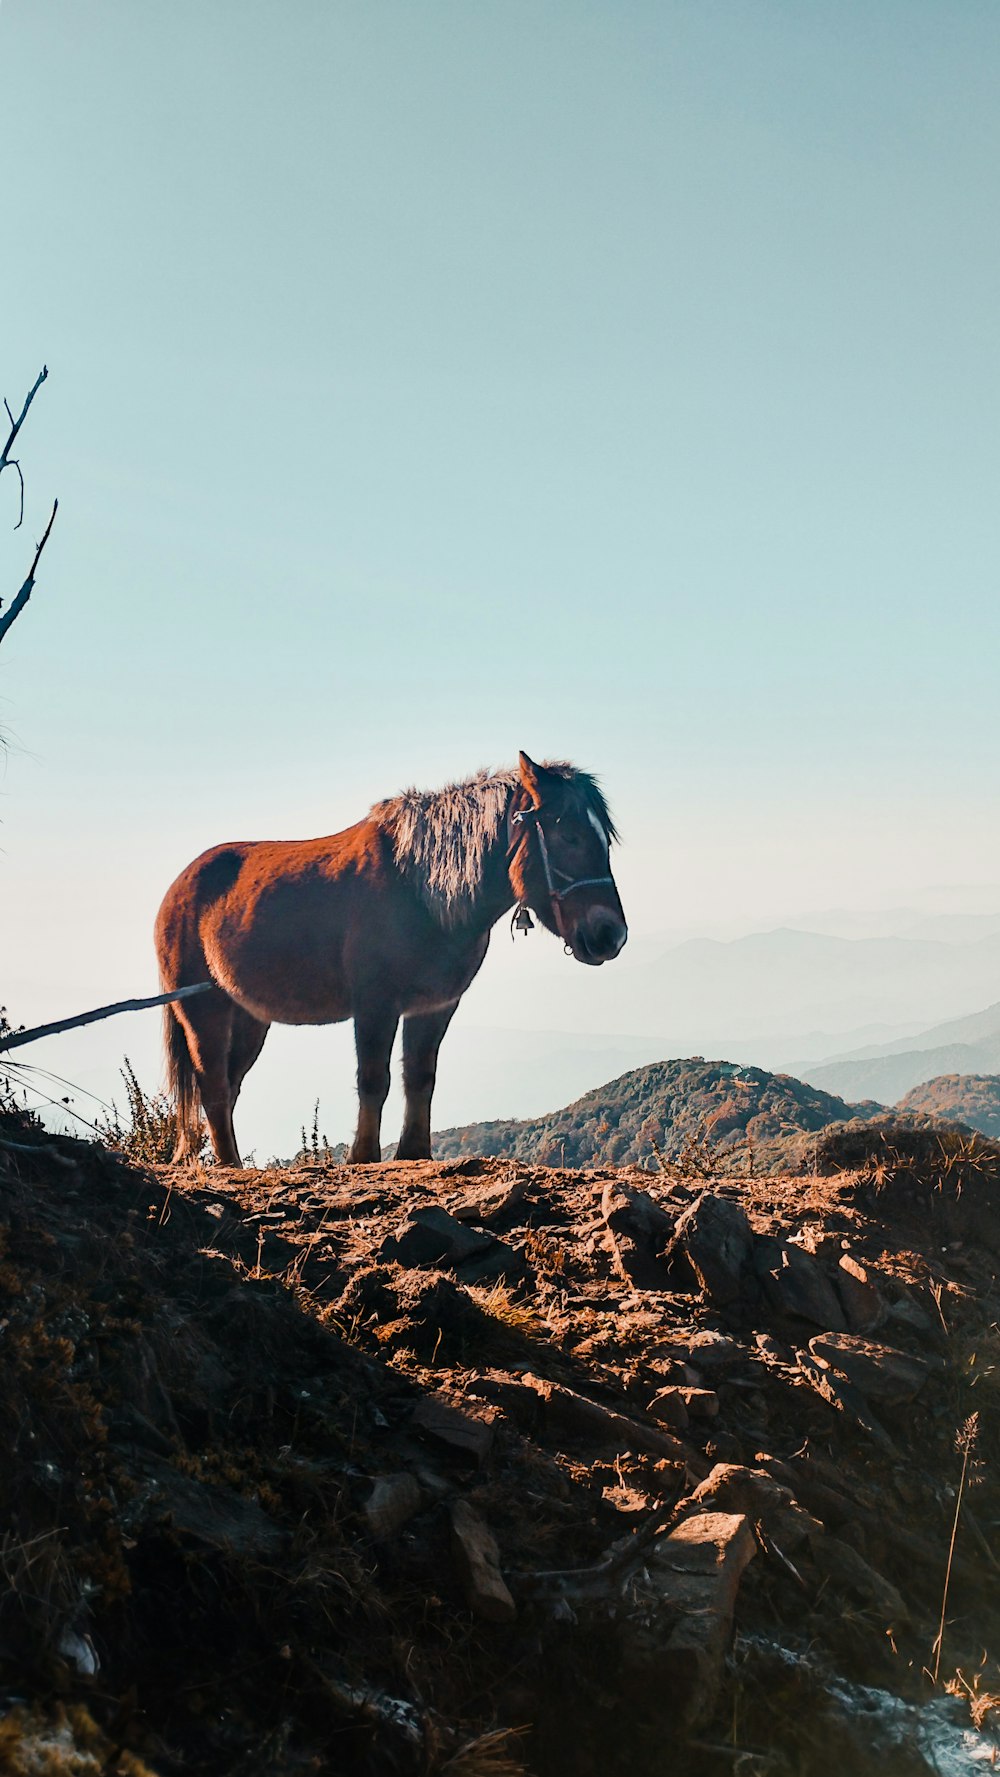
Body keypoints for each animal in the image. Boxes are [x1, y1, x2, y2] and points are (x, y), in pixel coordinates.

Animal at [154, 749, 625, 1165]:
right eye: (568, 836)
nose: (611, 934)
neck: (421, 890)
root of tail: (178, 888)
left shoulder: (435, 1005)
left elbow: (420, 1076)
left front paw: (414, 1151)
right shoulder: (375, 1005)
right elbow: (372, 1080)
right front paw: (363, 1156)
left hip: (250, 1018)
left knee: (229, 1084)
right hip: (203, 1010)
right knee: (213, 1084)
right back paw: (229, 1163)